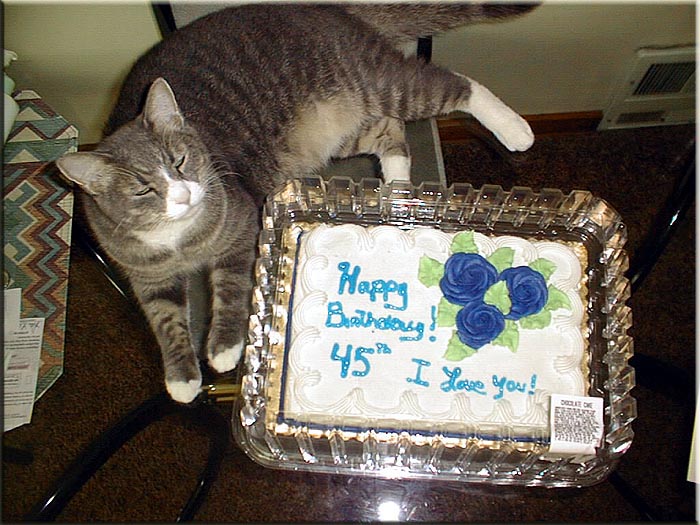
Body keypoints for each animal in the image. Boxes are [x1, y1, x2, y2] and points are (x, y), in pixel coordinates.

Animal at [56, 3, 536, 402]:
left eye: (180, 160)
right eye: (143, 189)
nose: (184, 194)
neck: (179, 240)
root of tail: (321, 7)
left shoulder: (242, 227)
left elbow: (230, 289)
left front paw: (225, 347)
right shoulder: (146, 278)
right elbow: (165, 321)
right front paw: (181, 377)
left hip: (375, 80)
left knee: (450, 82)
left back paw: (513, 128)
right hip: (338, 130)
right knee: (389, 130)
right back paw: (395, 189)